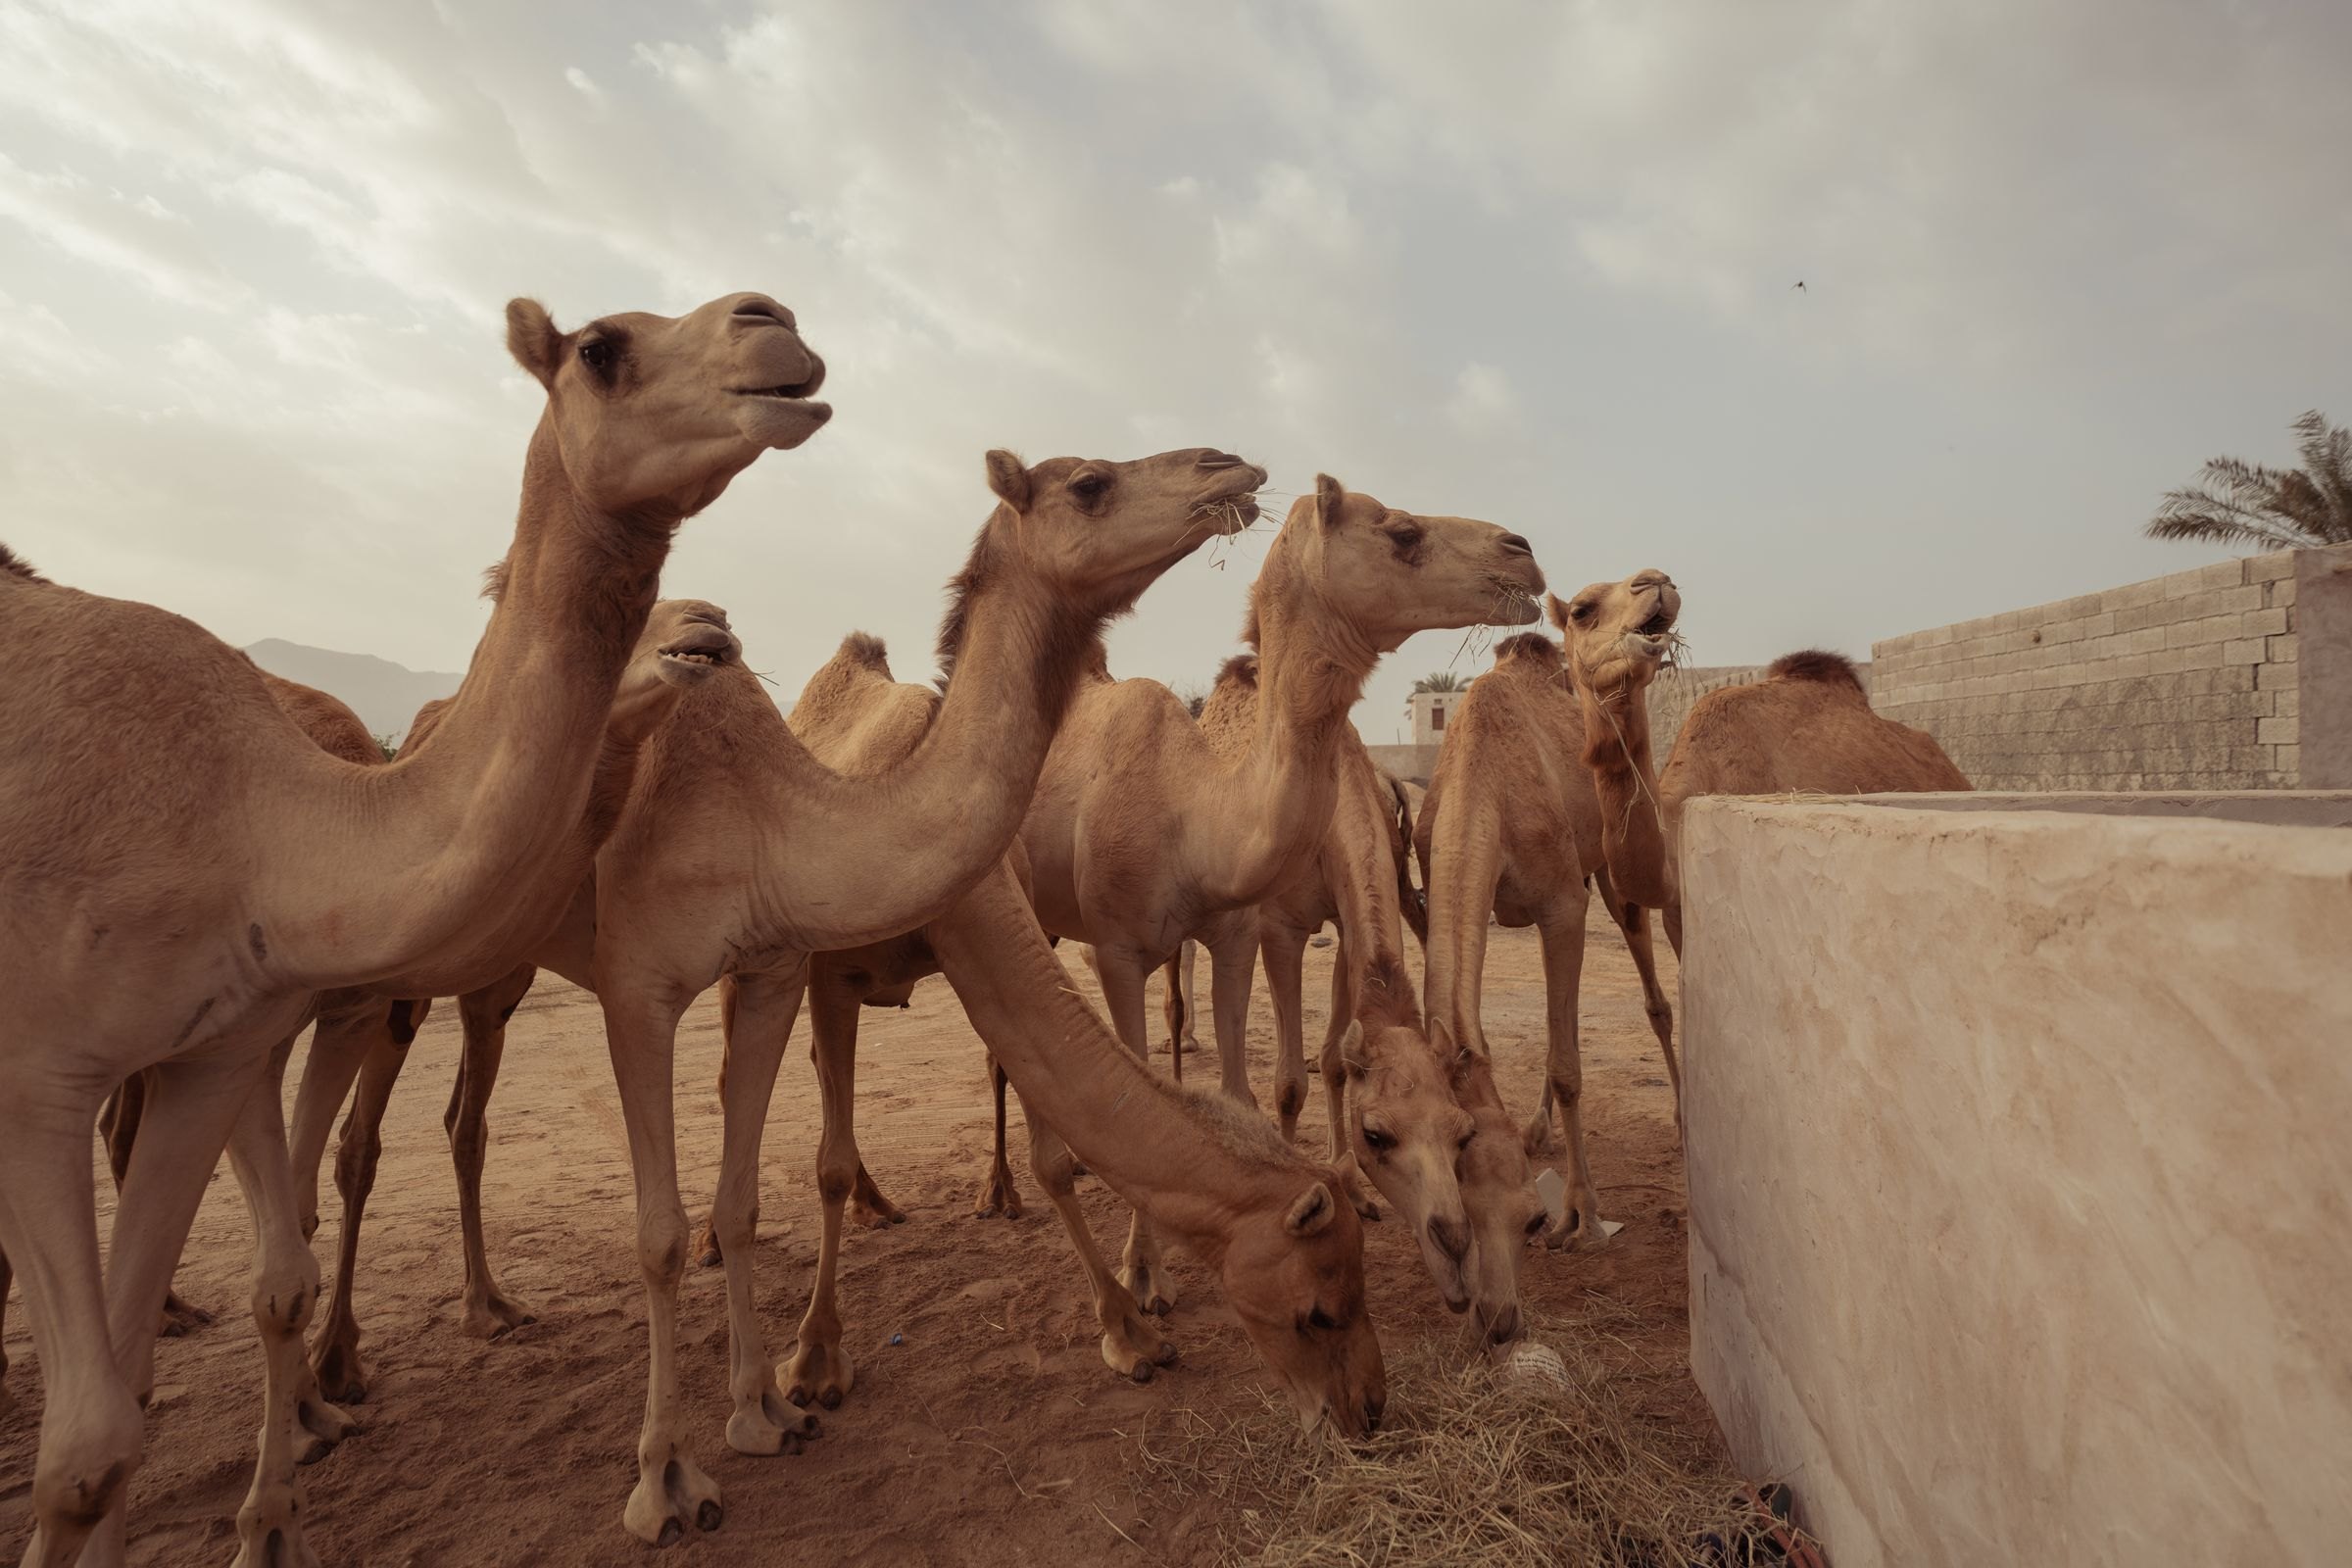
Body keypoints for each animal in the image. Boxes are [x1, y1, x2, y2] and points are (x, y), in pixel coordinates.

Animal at [0, 289, 825, 1567]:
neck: (256, 822)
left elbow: (143, 1381)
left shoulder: (239, 1036)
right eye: (600, 348)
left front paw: (279, 1482)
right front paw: (295, 1447)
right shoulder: (46, 1071)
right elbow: (102, 1424)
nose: (773, 320)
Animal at [1017, 475, 1545, 1315]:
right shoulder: (1208, 938)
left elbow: (1310, 1069)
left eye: (1461, 1133)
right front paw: (1151, 1276)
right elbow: (1266, 1084)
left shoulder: (1282, 930)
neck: (1194, 813)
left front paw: (1335, 1191)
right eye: (1401, 532)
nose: (1522, 552)